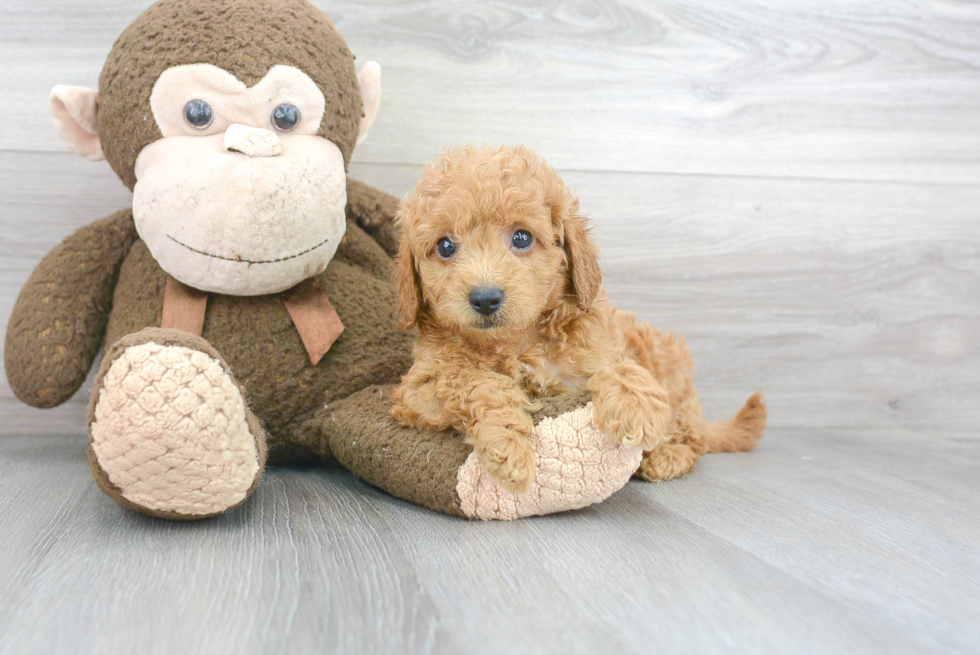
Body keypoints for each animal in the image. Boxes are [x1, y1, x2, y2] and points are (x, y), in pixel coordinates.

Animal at [390, 144, 764, 492]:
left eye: (522, 238)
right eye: (445, 246)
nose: (485, 298)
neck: (518, 342)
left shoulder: (595, 344)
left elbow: (618, 365)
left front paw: (634, 406)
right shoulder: (418, 387)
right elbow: (477, 381)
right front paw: (507, 444)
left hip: (675, 382)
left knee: (695, 440)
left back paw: (666, 456)